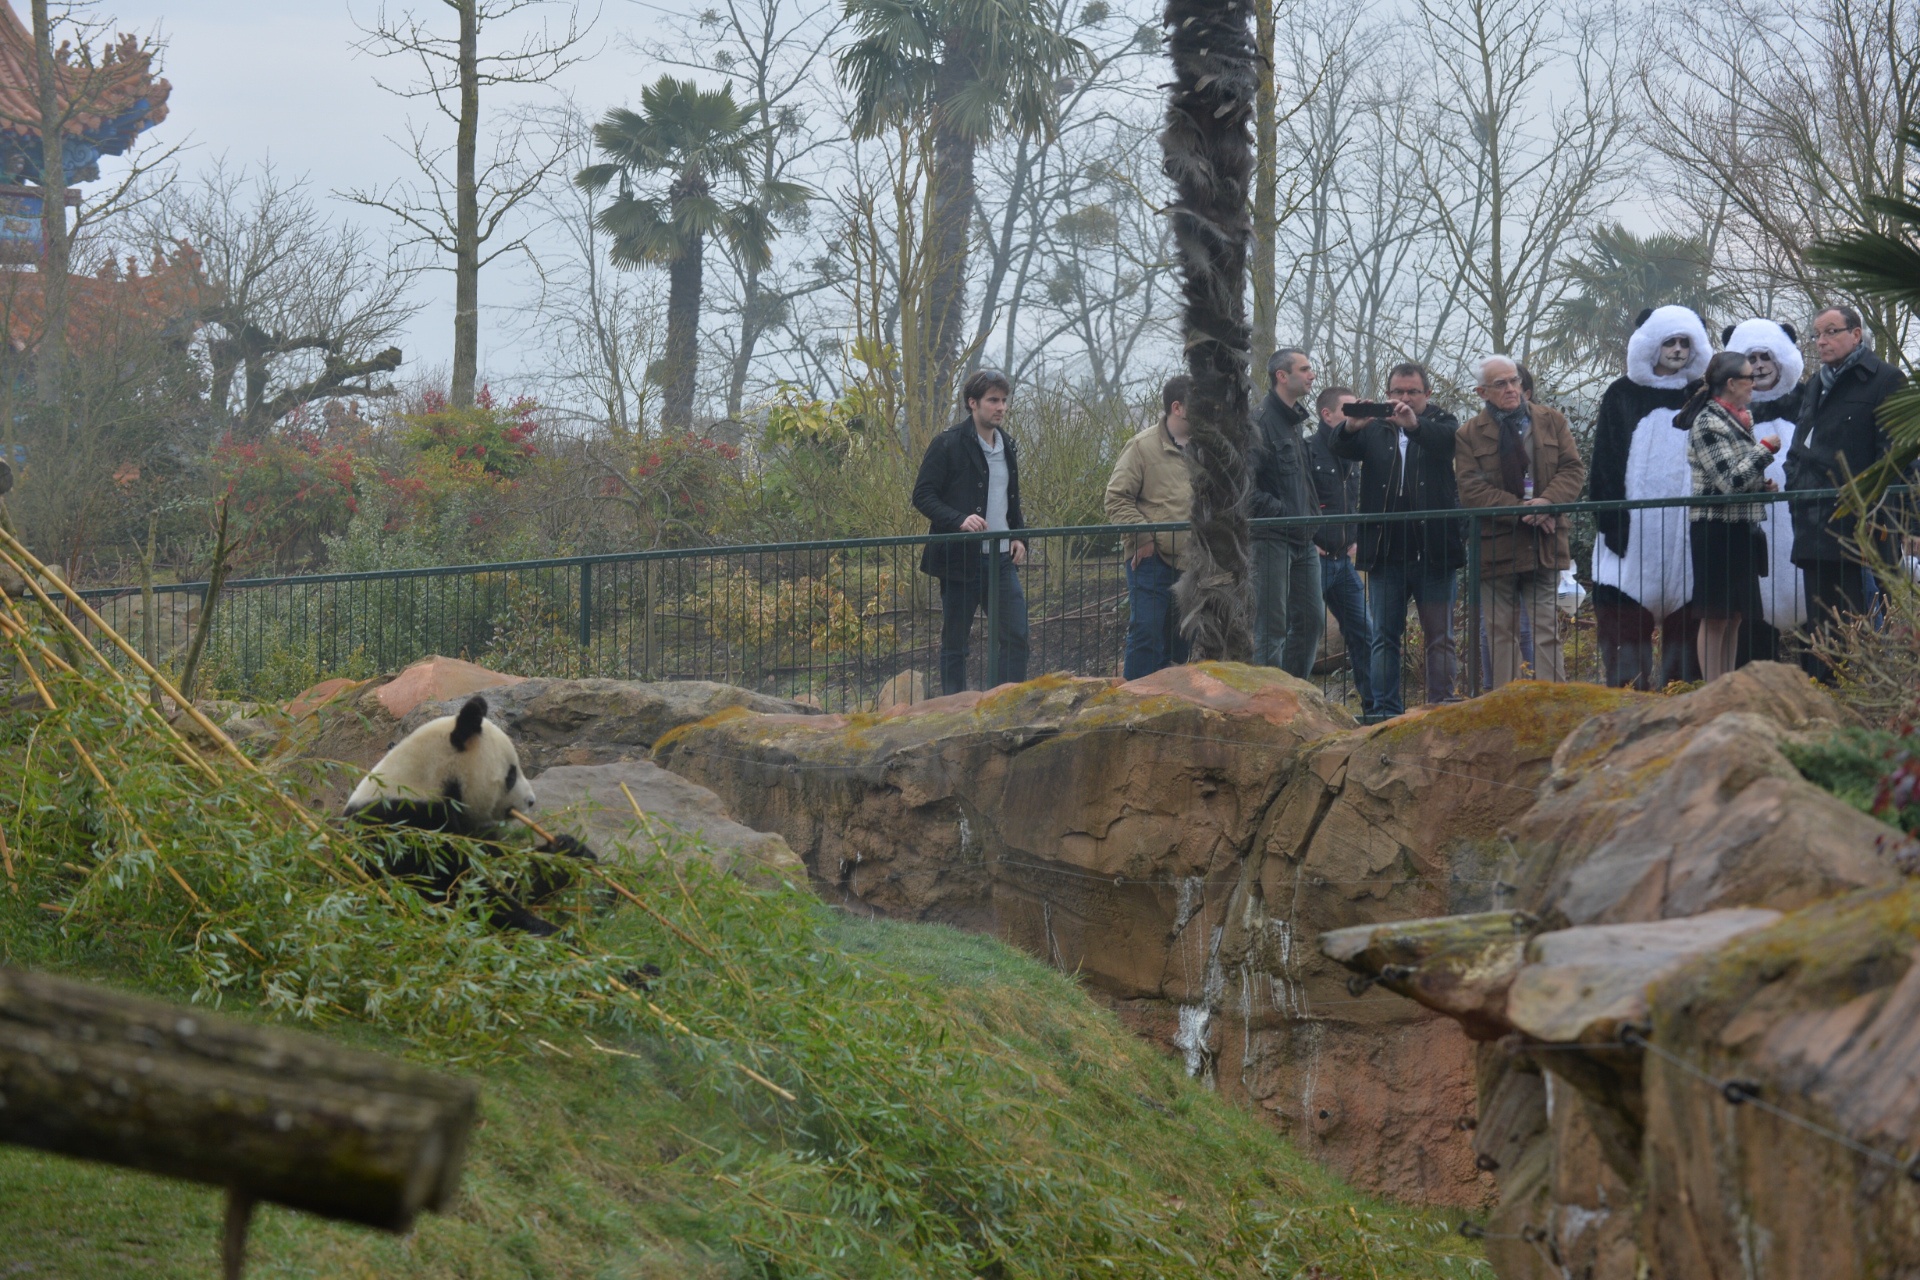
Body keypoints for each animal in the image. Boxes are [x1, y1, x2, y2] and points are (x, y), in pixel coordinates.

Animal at [345, 694, 595, 936]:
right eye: (511, 775)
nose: (530, 801)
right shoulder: (404, 829)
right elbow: (457, 892)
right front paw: (546, 930)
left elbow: (511, 873)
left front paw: (569, 850)